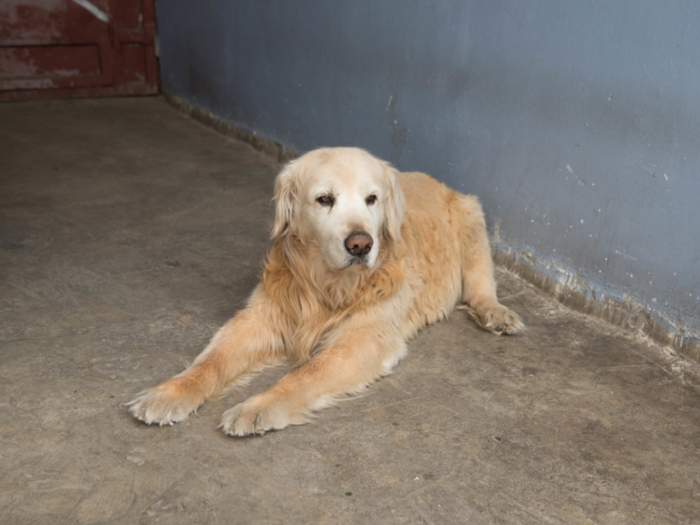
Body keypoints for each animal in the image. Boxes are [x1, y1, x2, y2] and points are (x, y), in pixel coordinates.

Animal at [126, 146, 524, 434]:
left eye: (372, 199)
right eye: (324, 199)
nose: (361, 244)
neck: (327, 285)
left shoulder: (364, 339)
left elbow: (304, 374)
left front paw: (256, 407)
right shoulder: (261, 317)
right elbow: (212, 362)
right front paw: (169, 393)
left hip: (471, 216)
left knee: (480, 286)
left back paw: (498, 314)